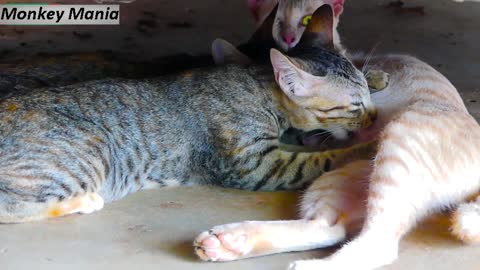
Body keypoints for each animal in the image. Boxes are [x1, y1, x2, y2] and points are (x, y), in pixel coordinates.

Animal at [0, 5, 376, 224]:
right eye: (355, 105)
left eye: (368, 97)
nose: (373, 117)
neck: (256, 87)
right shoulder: (257, 165)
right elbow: (320, 160)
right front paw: (368, 147)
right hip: (86, 155)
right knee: (8, 206)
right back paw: (82, 201)